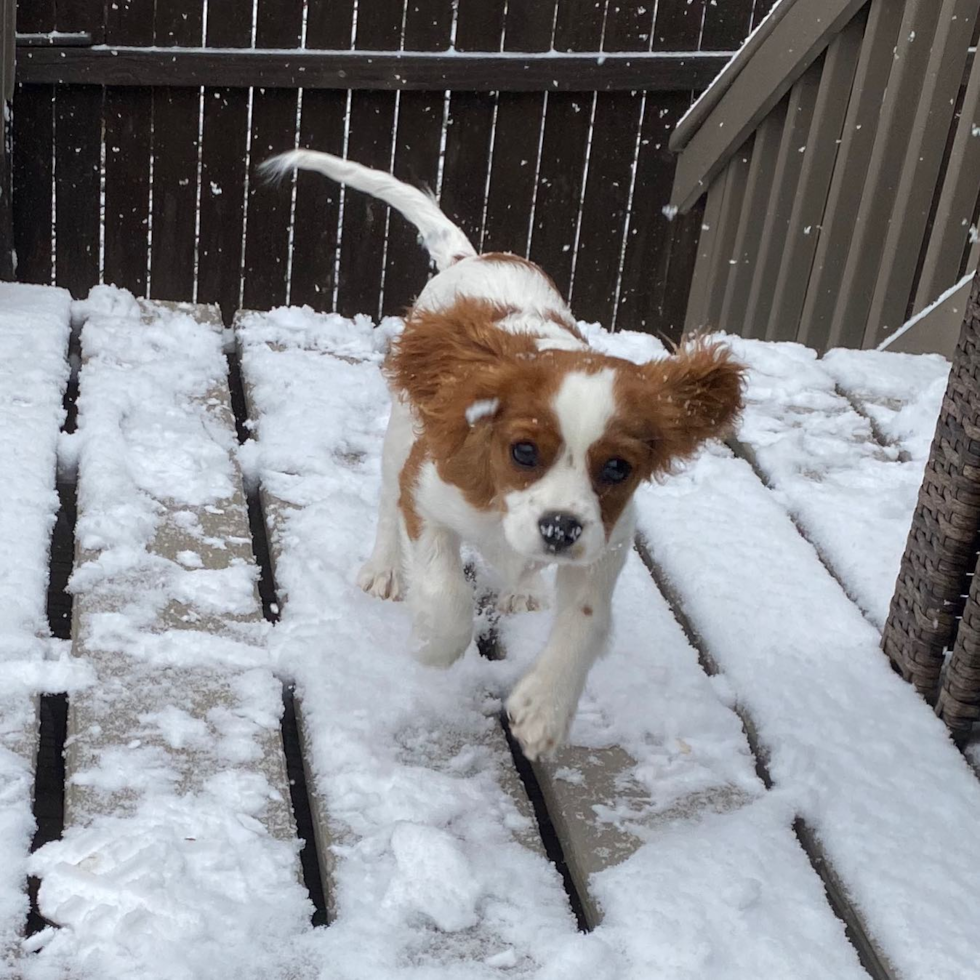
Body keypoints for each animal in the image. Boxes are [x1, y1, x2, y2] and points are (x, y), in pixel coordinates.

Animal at [260, 149, 744, 756]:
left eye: (617, 467)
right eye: (523, 451)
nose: (559, 529)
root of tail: (474, 256)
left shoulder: (608, 540)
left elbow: (586, 620)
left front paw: (545, 709)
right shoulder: (428, 488)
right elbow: (444, 588)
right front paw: (435, 644)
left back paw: (527, 587)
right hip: (402, 434)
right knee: (386, 502)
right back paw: (385, 569)